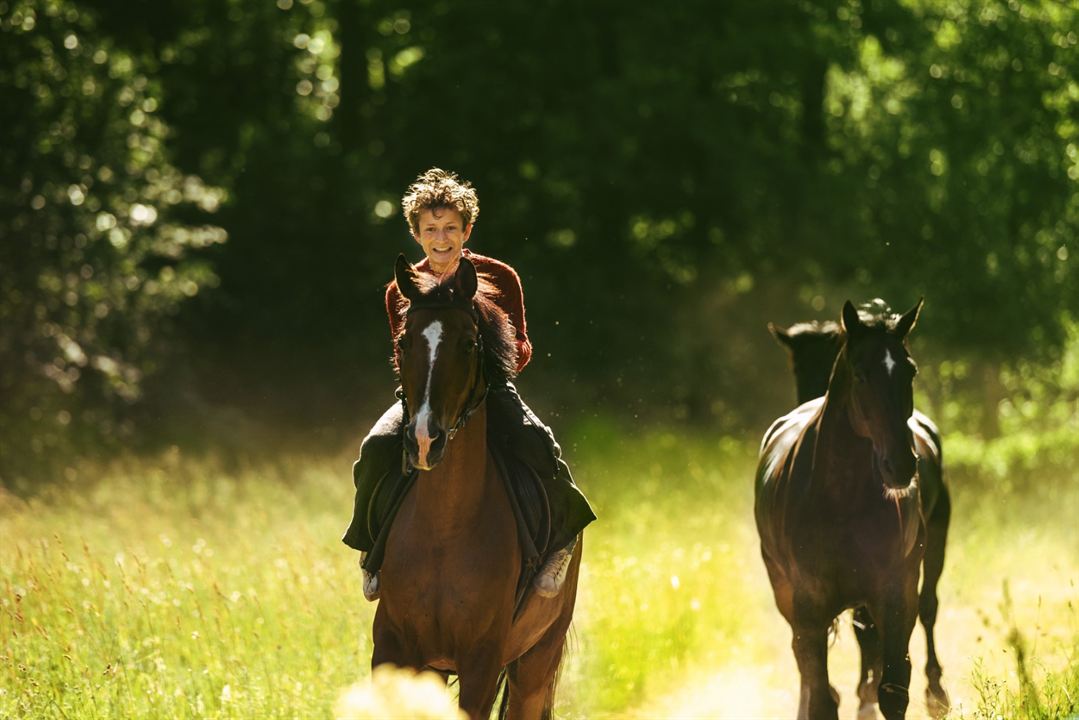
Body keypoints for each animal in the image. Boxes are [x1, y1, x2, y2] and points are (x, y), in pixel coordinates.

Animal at [371, 255, 582, 716]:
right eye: (403, 343)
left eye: (469, 344)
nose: (424, 439)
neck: (444, 531)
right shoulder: (393, 649)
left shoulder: (482, 663)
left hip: (535, 663)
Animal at [759, 300, 936, 720]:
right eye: (859, 373)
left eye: (910, 370)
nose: (900, 465)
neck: (840, 500)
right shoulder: (808, 605)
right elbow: (821, 696)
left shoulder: (895, 594)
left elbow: (892, 690)